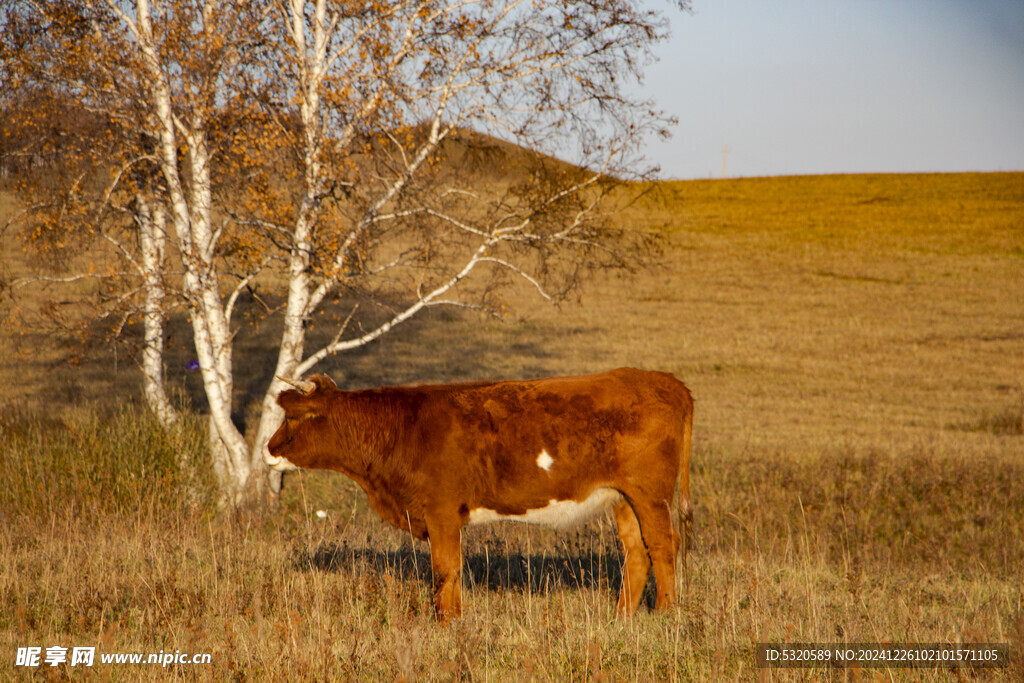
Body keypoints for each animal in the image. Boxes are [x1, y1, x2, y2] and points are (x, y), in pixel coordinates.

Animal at [266, 370, 696, 622]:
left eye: (295, 416)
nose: (269, 449)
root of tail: (666, 381)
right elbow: (450, 570)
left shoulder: (441, 511)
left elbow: (445, 569)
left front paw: (446, 622)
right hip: (622, 496)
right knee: (637, 550)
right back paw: (622, 617)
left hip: (649, 493)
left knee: (663, 544)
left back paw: (666, 613)